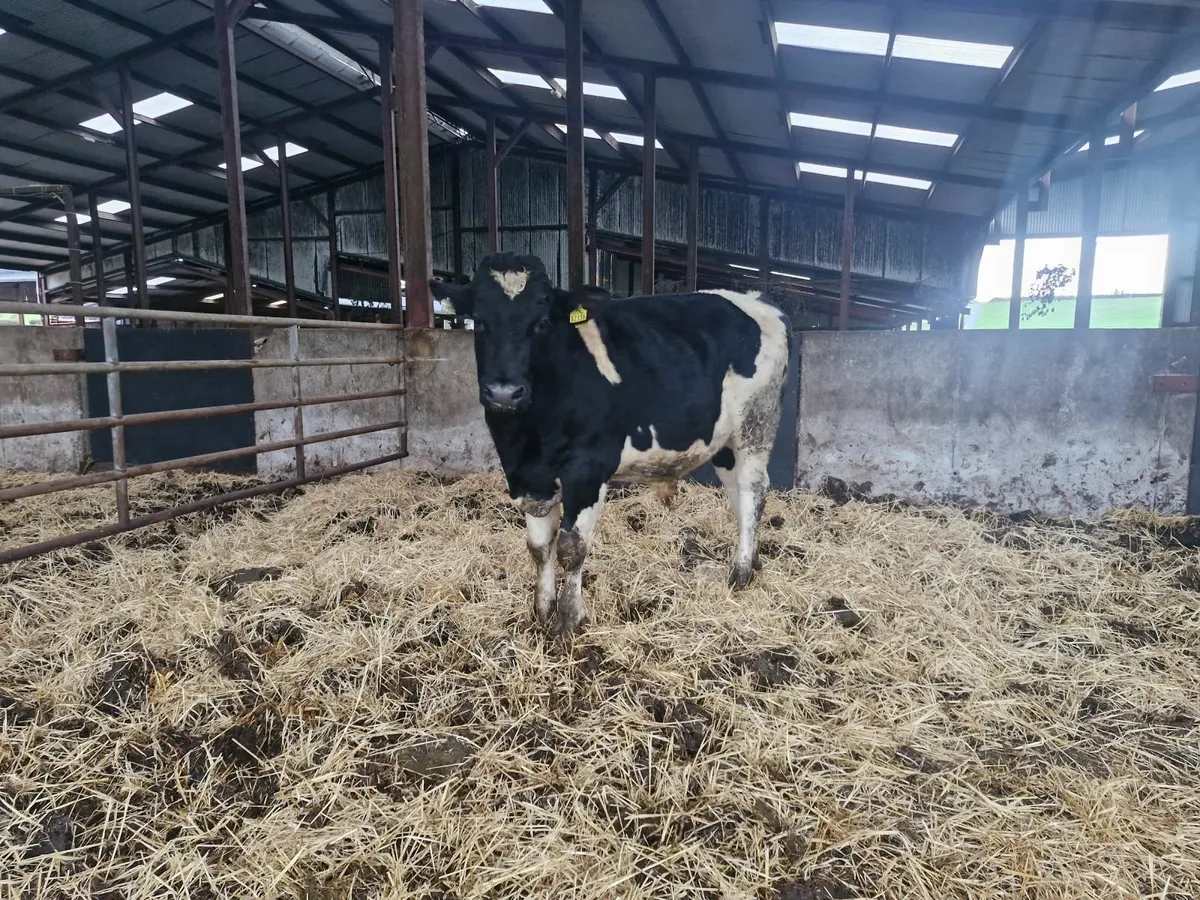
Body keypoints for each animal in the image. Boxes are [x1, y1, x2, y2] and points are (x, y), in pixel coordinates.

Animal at [431, 252, 791, 637]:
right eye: (479, 322)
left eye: (542, 322)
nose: (503, 392)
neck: (528, 439)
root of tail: (758, 299)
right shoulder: (528, 478)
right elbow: (539, 547)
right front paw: (541, 612)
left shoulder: (588, 471)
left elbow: (571, 548)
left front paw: (569, 621)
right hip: (724, 442)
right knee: (737, 493)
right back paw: (752, 560)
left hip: (756, 425)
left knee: (754, 491)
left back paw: (741, 572)